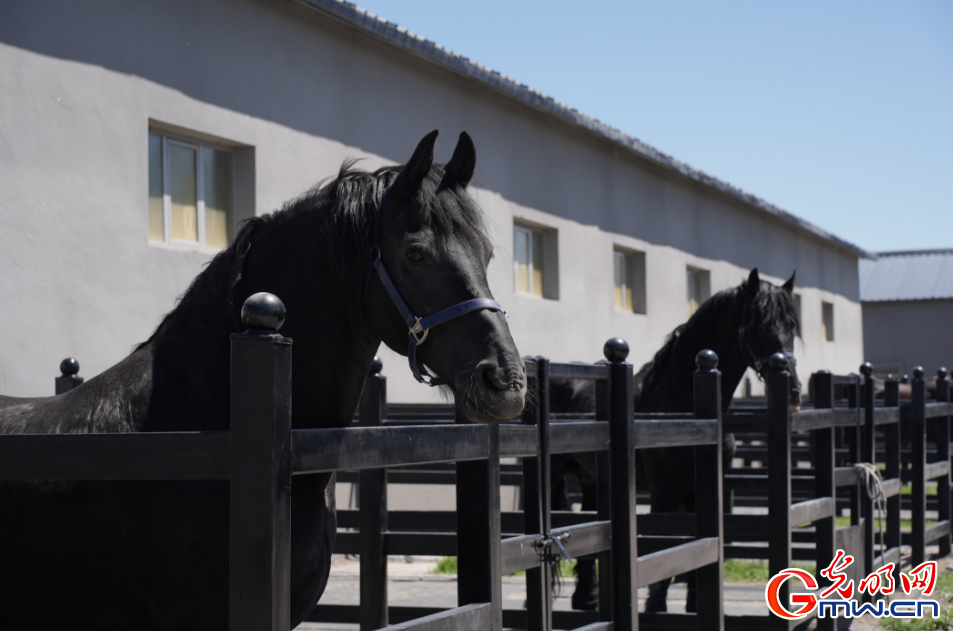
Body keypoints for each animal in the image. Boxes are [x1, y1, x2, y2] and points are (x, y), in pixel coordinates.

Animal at [552, 270, 804, 612]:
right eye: (757, 324)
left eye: (791, 326)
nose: (793, 392)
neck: (689, 408)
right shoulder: (665, 490)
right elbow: (668, 545)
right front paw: (656, 607)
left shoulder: (701, 489)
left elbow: (697, 542)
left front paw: (696, 604)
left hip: (591, 479)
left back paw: (586, 598)